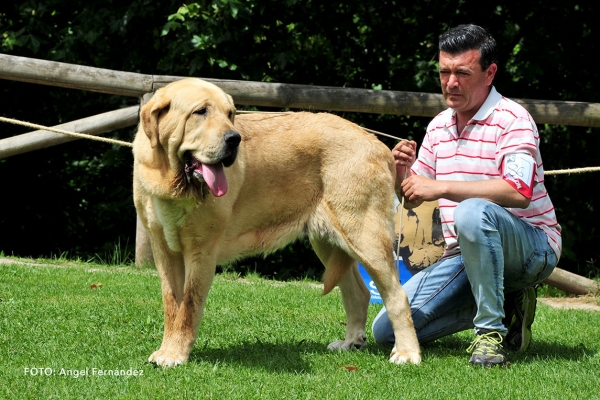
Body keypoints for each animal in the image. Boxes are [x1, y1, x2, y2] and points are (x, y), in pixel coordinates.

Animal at [134, 77, 420, 366]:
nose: (234, 139)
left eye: (230, 114)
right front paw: (167, 349)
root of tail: (378, 144)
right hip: (331, 242)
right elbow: (172, 304)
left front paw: (175, 354)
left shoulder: (201, 251)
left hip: (364, 235)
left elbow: (189, 306)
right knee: (358, 292)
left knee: (397, 295)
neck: (170, 180)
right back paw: (350, 342)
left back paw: (407, 353)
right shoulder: (164, 250)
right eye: (200, 112)